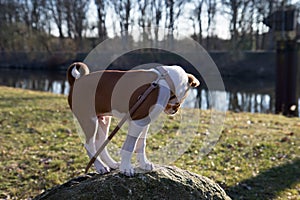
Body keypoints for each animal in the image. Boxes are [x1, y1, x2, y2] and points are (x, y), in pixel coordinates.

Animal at [67, 61, 200, 176]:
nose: (174, 111)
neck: (165, 81)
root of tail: (75, 82)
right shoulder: (138, 122)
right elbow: (130, 146)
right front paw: (126, 168)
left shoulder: (144, 122)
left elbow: (141, 144)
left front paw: (144, 164)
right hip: (89, 120)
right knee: (89, 145)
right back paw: (101, 167)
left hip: (103, 120)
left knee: (100, 142)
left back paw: (111, 164)